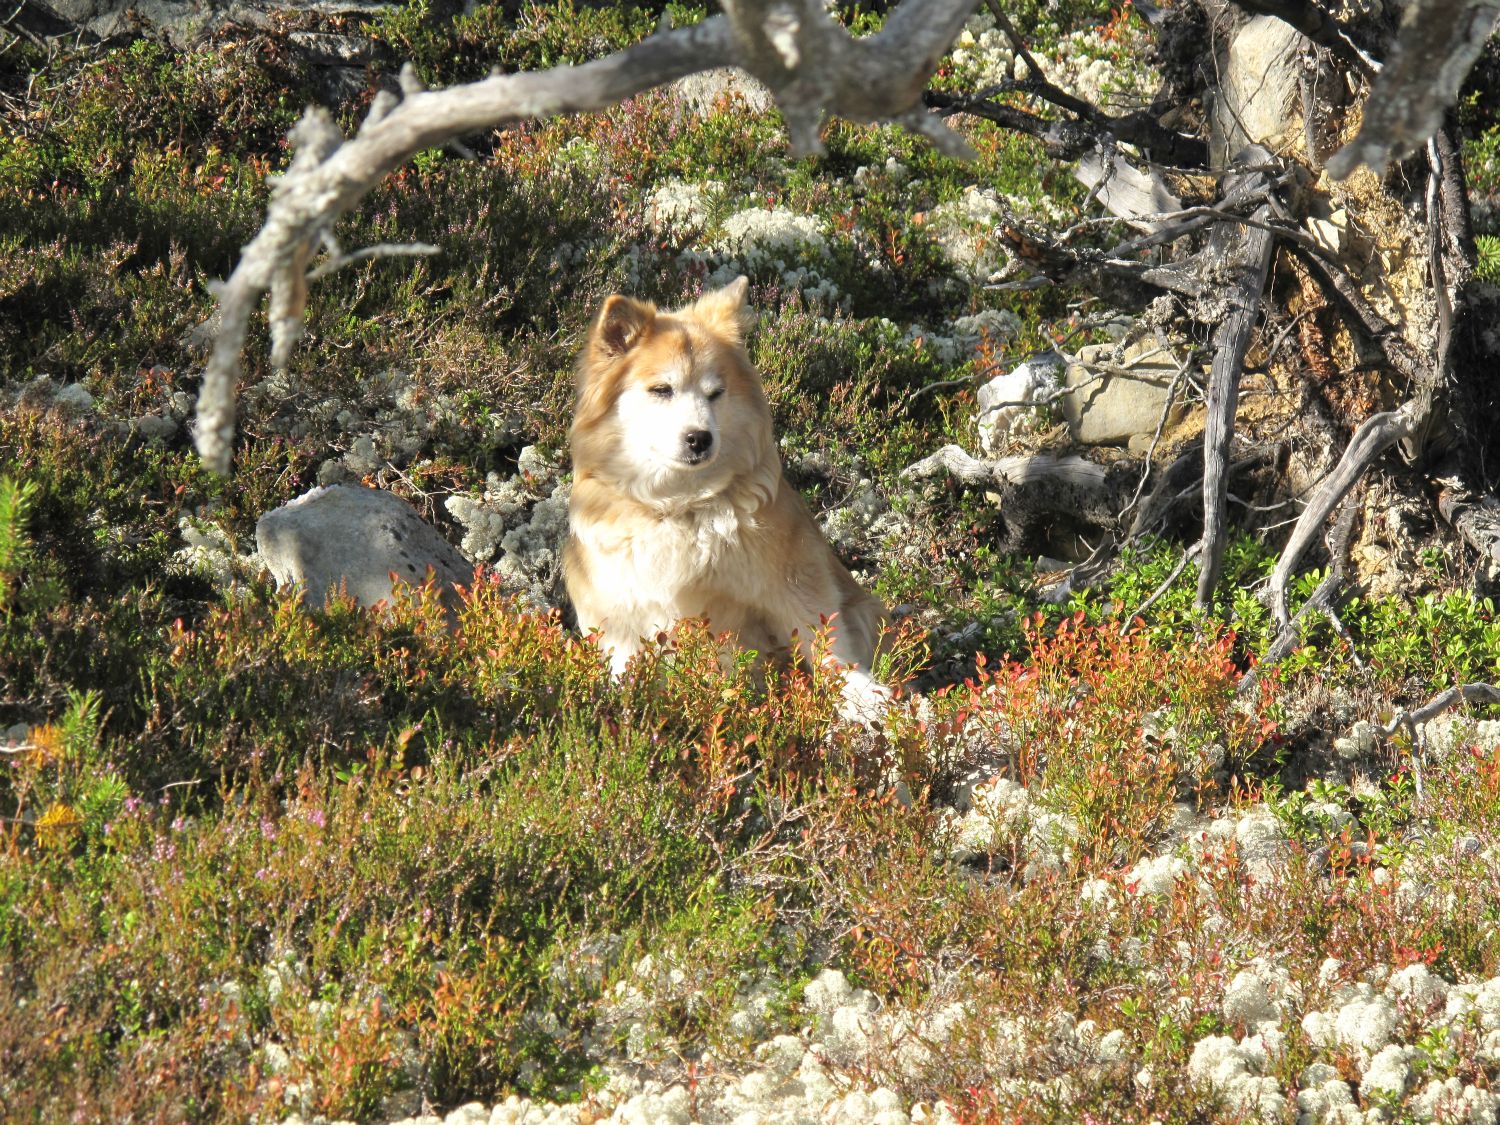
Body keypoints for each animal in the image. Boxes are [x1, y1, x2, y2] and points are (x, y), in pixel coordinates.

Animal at [564, 276, 888, 714]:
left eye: (715, 393)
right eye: (661, 389)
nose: (699, 438)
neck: (680, 507)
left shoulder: (794, 582)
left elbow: (823, 641)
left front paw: (858, 696)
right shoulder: (619, 612)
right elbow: (625, 663)